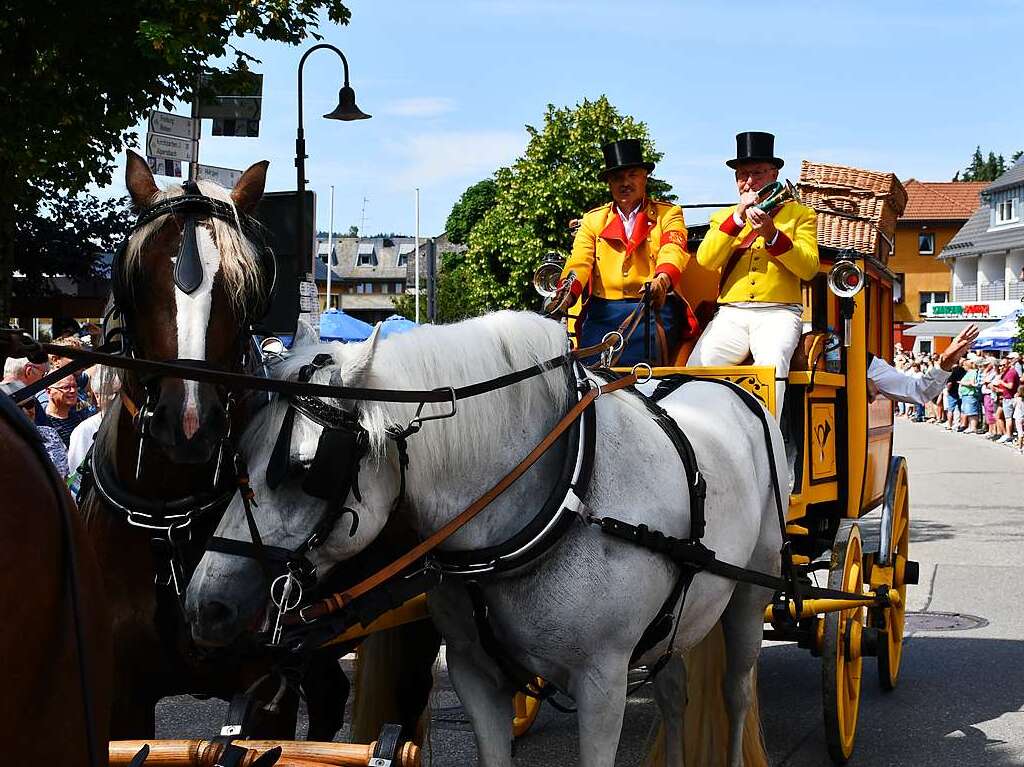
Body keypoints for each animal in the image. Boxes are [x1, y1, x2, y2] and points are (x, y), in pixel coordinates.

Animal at [76, 153, 348, 741]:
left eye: (247, 287)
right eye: (136, 277)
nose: (189, 424)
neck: (169, 522)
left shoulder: (265, 691)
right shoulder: (122, 690)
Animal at [184, 311, 778, 765]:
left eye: (306, 469)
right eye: (239, 458)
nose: (204, 605)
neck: (566, 497)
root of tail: (722, 384)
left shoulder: (602, 684)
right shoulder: (475, 676)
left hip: (752, 592)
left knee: (738, 690)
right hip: (681, 618)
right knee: (675, 692)